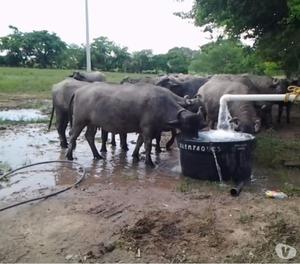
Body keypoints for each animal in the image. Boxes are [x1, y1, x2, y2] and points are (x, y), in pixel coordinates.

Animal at [66, 82, 206, 167]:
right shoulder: (148, 129)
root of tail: (78, 91)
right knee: (73, 136)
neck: (161, 104)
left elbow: (139, 141)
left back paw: (97, 155)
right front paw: (149, 162)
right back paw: (69, 156)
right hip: (79, 121)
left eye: (197, 127)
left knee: (89, 136)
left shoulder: (144, 129)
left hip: (92, 123)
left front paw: (135, 155)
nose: (194, 139)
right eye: (187, 127)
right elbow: (148, 144)